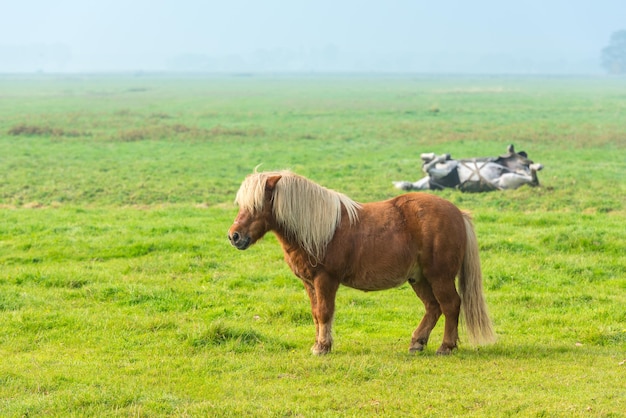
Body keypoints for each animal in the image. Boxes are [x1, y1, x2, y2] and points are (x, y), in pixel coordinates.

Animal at [227, 168, 494, 354]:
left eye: (257, 206)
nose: (234, 236)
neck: (319, 229)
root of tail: (458, 213)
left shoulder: (325, 280)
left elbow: (324, 312)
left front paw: (323, 347)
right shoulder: (309, 282)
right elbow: (315, 313)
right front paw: (318, 344)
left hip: (440, 277)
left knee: (450, 305)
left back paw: (445, 346)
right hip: (419, 278)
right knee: (433, 307)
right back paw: (417, 343)